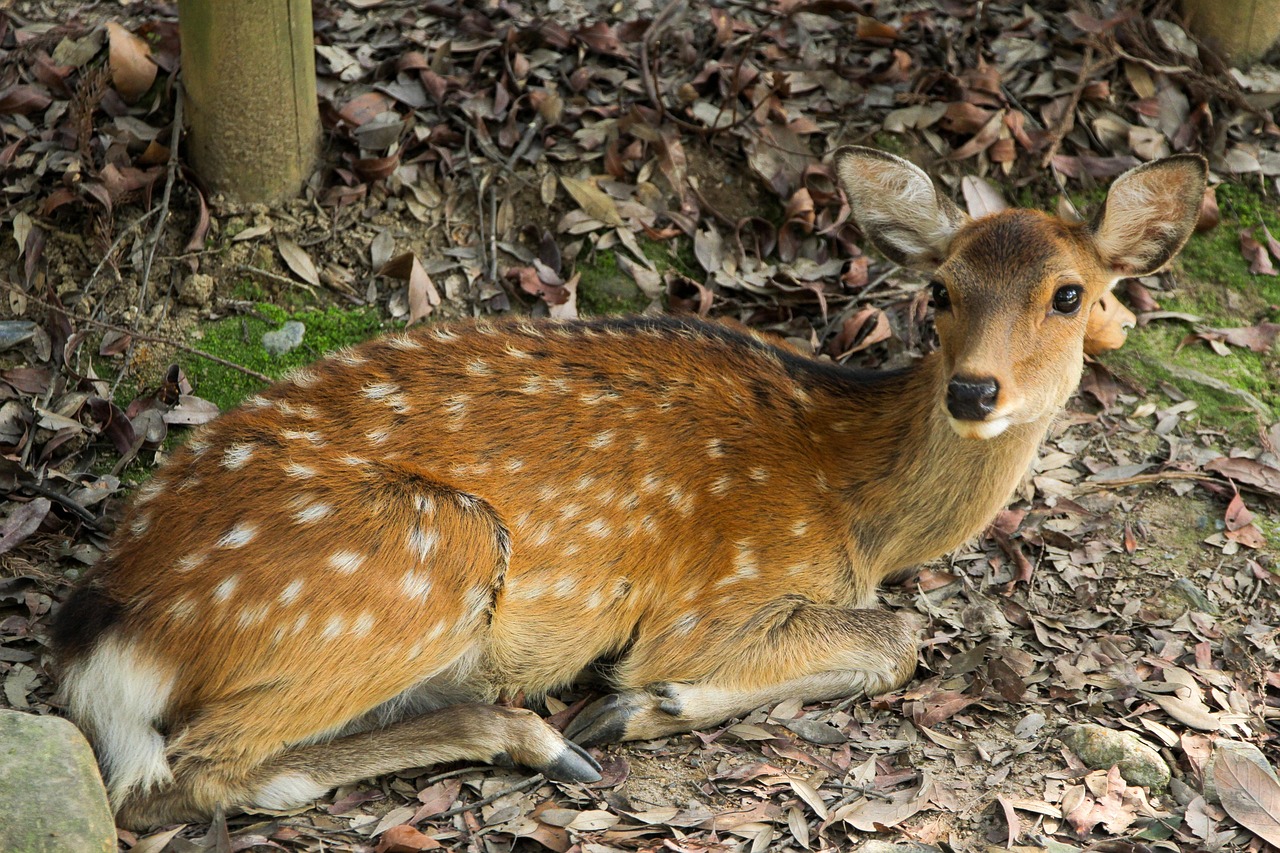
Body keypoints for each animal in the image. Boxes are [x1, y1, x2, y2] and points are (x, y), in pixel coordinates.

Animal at [51, 148, 1206, 828]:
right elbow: (896, 638)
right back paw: (553, 739)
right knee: (183, 772)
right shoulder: (716, 596)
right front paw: (641, 702)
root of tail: (105, 635)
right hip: (423, 556)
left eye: (1070, 294)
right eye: (941, 290)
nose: (974, 388)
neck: (857, 507)